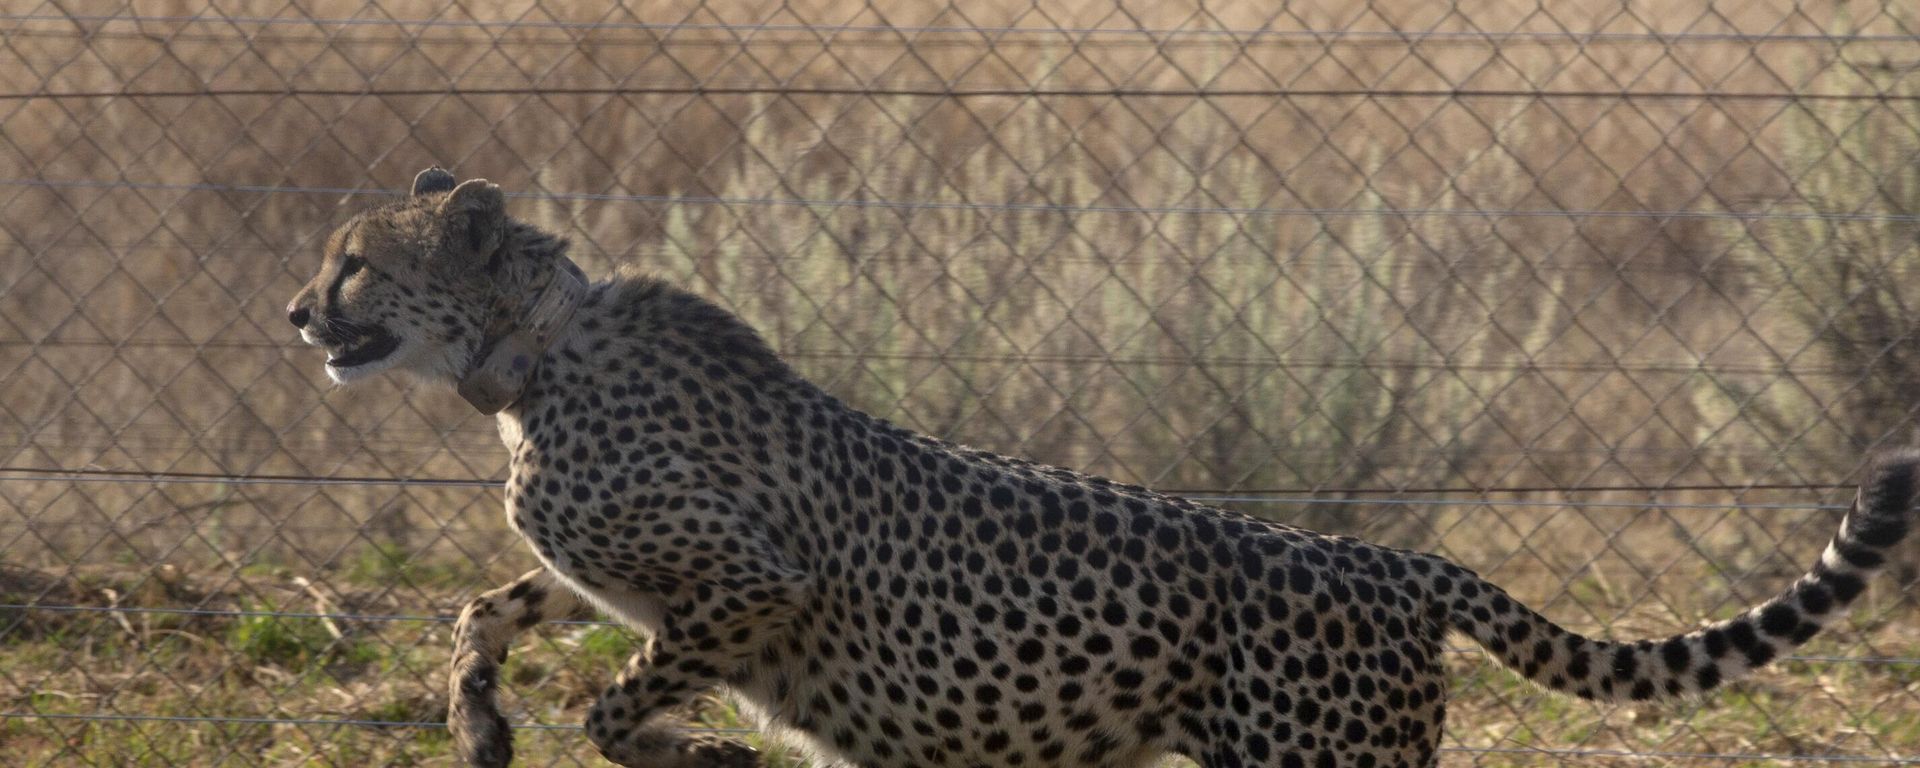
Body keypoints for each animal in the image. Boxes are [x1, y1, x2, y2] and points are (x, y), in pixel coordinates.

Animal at [287, 167, 1920, 768]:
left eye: (356, 262)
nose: (297, 314)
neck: (524, 357)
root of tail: (1384, 554)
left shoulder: (756, 583)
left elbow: (623, 701)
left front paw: (701, 751)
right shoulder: (630, 574)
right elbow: (492, 609)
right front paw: (477, 716)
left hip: (1323, 763)